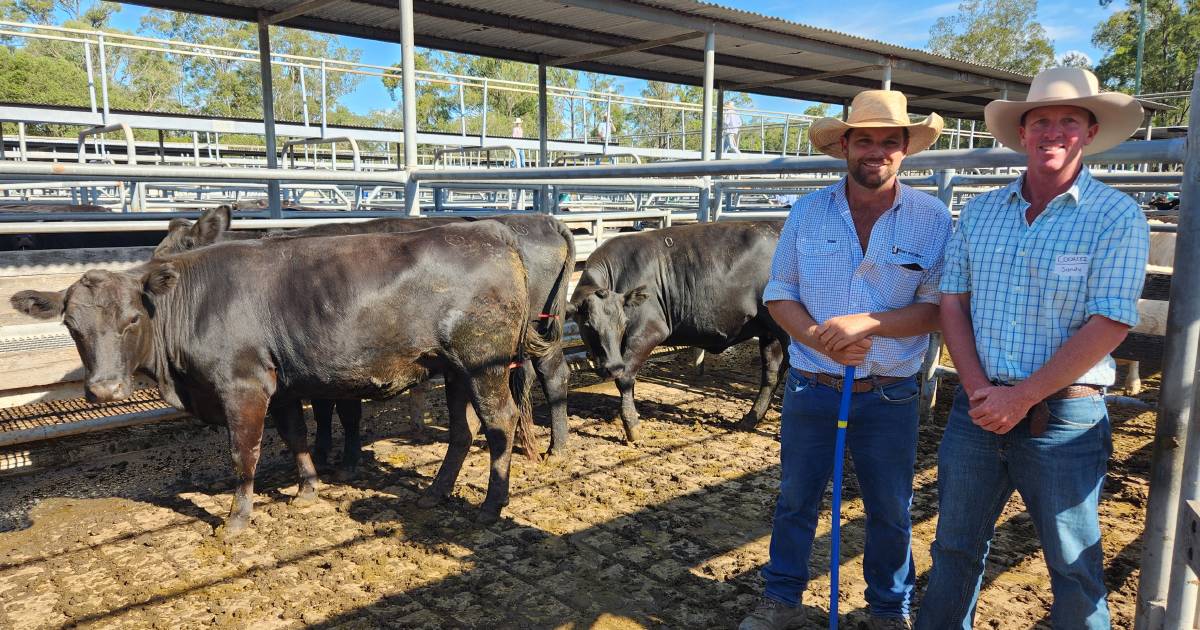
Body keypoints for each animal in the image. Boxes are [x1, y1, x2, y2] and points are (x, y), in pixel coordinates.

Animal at [12, 220, 549, 535]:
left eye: (130, 319)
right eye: (71, 325)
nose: (103, 389)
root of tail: (491, 231)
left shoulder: (243, 384)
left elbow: (243, 453)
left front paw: (236, 519)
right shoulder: (282, 384)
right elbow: (295, 437)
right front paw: (308, 490)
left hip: (484, 363)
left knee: (498, 424)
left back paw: (492, 505)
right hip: (455, 369)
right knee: (462, 429)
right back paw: (436, 492)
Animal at [157, 206, 578, 460]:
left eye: (183, 248)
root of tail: (542, 220)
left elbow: (341, 411)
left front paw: (343, 458)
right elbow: (325, 410)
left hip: (533, 331)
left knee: (552, 374)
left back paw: (557, 446)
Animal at [568, 220, 792, 441]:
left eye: (624, 322)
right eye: (588, 326)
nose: (613, 367)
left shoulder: (649, 332)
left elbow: (625, 379)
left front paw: (632, 425)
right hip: (769, 333)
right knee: (771, 374)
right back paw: (749, 420)